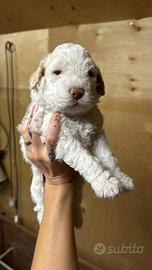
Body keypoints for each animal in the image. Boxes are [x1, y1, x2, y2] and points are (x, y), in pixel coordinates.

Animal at [18, 43, 134, 223]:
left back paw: (77, 217)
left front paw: (120, 178)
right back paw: (44, 214)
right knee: (39, 199)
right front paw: (106, 184)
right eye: (57, 72)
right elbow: (86, 158)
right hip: (37, 182)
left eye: (90, 74)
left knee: (76, 195)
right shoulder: (62, 138)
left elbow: (108, 157)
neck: (76, 116)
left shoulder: (97, 134)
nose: (77, 92)